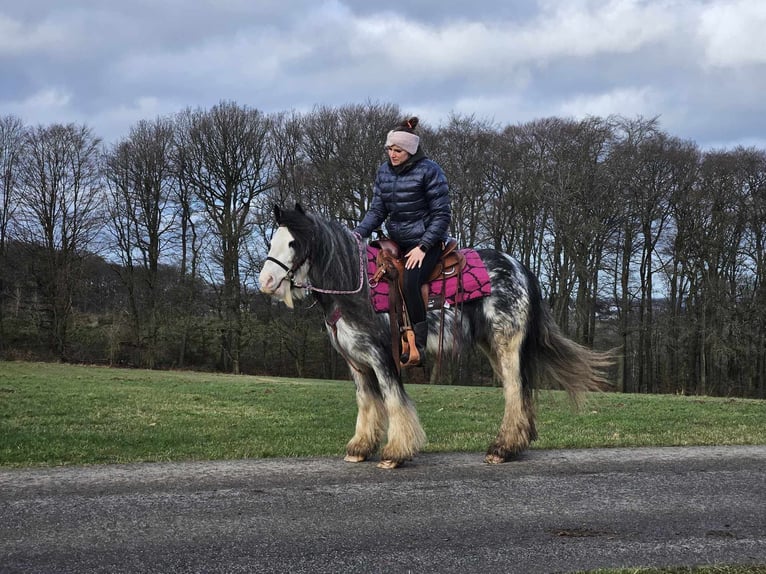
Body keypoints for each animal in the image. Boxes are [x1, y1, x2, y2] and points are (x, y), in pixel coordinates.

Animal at [260, 205, 616, 470]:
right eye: (272, 241)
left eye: (293, 243)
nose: (266, 282)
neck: (355, 288)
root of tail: (520, 268)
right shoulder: (356, 362)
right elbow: (367, 403)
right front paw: (360, 448)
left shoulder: (382, 357)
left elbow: (394, 401)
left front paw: (395, 453)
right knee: (520, 391)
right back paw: (515, 444)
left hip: (507, 343)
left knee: (515, 391)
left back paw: (501, 449)